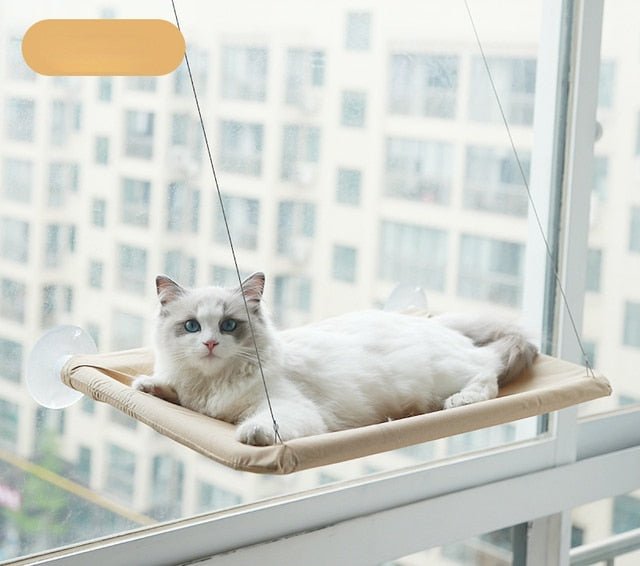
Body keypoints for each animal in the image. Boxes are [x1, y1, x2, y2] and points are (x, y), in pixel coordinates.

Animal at [132, 272, 536, 446]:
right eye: (192, 326)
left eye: (229, 325)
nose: (211, 344)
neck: (212, 384)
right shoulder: (192, 396)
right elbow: (172, 390)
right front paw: (147, 385)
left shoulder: (287, 408)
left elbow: (263, 424)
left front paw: (251, 434)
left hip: (446, 374)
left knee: (487, 374)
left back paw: (460, 401)